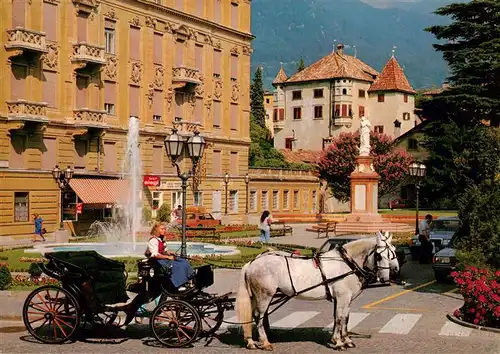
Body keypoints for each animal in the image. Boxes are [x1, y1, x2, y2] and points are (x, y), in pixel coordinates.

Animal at [235, 231, 398, 350]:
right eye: (379, 255)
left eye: (394, 252)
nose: (394, 271)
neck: (347, 263)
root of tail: (252, 262)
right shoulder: (342, 297)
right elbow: (339, 318)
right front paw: (338, 342)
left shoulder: (346, 299)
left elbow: (344, 318)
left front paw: (346, 339)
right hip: (265, 296)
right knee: (259, 317)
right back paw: (265, 342)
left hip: (256, 296)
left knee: (252, 314)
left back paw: (251, 341)